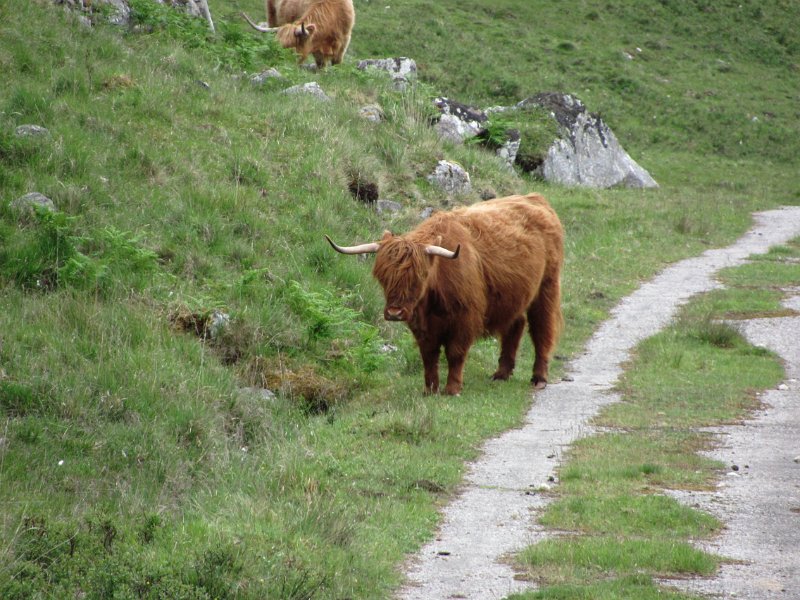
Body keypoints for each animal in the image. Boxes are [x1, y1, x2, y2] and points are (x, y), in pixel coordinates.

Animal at [324, 195, 564, 396]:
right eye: (383, 277)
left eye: (418, 278)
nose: (394, 312)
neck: (433, 298)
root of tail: (535, 199)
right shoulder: (422, 325)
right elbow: (429, 355)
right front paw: (430, 389)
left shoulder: (465, 319)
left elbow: (455, 353)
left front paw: (452, 389)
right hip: (513, 296)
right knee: (515, 325)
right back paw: (501, 374)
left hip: (547, 286)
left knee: (542, 329)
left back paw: (539, 378)